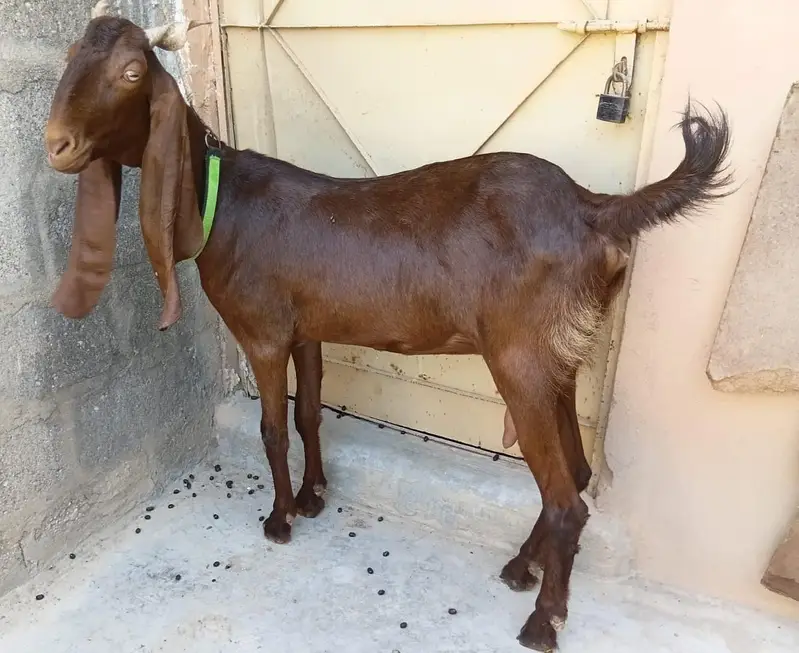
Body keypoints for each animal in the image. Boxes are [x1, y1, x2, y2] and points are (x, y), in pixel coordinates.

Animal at [44, 4, 732, 650]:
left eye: (132, 73)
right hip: (557, 353)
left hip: (520, 358)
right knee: (579, 475)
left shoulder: (262, 333)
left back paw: (543, 620)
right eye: (72, 55)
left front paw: (280, 518)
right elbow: (309, 413)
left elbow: (272, 428)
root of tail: (594, 208)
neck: (222, 198)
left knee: (567, 500)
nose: (56, 144)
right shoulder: (307, 330)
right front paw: (315, 496)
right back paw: (521, 567)